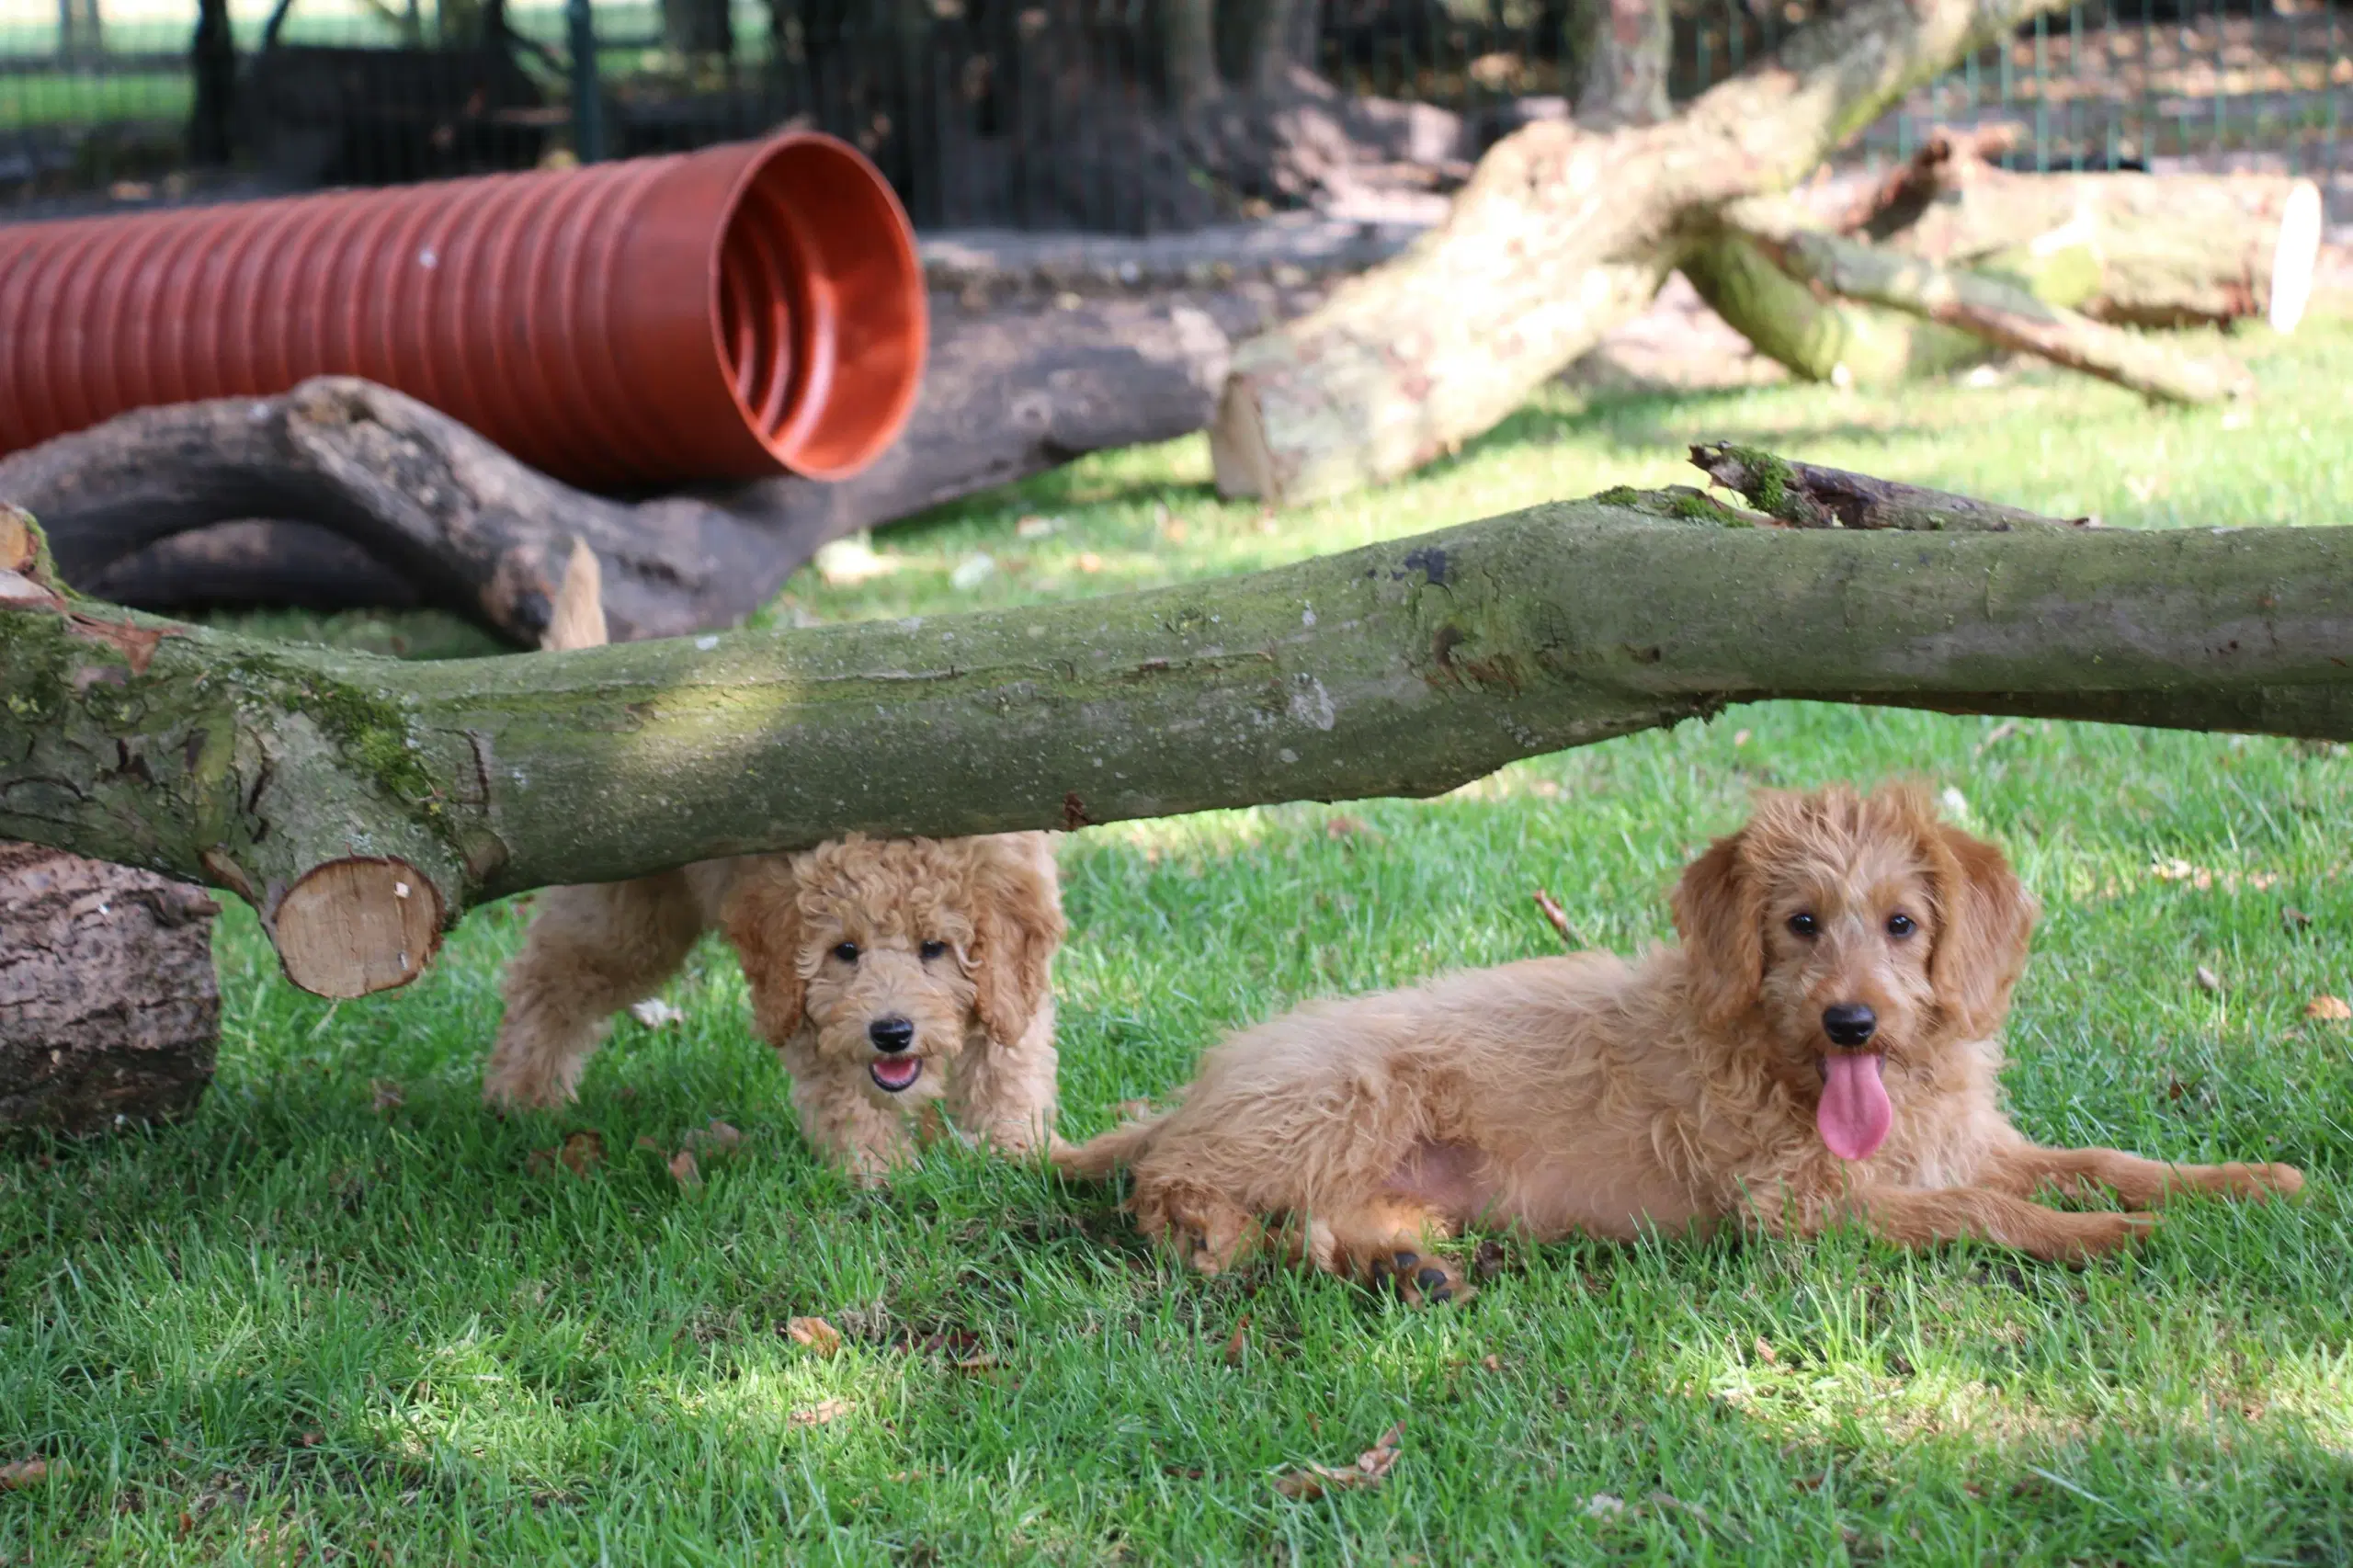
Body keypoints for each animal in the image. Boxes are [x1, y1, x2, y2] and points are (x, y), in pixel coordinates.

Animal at [480, 543, 1068, 1167]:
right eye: (844, 950)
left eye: (934, 948)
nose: (891, 1033)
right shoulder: (799, 998)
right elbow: (843, 1094)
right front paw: (878, 1173)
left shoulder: (1016, 977)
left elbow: (1008, 1062)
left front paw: (1016, 1148)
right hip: (626, 923)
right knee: (547, 983)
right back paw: (521, 1097)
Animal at [1059, 777, 2305, 1299]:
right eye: (1799, 922)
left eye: (1902, 923)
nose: (1852, 1018)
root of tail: (1195, 1088)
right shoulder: (1800, 1207)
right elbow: (1989, 1211)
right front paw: (2109, 1235)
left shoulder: (1965, 1143)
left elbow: (2104, 1157)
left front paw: (2243, 1181)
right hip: (1350, 1090)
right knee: (1176, 1197)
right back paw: (1245, 1238)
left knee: (1325, 1216)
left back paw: (1407, 1261)